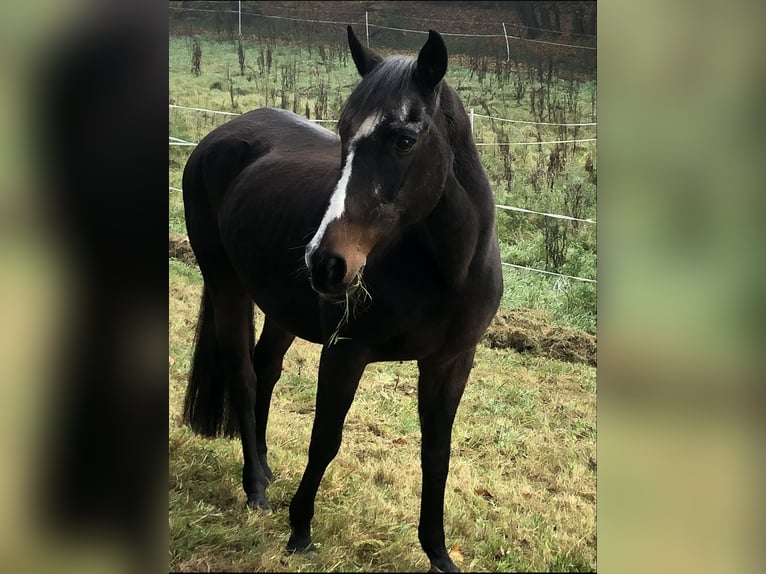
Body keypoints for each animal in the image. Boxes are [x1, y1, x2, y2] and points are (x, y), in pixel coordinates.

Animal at [181, 26, 503, 573]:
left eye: (404, 139)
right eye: (344, 132)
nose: (325, 262)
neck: (449, 270)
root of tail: (219, 137)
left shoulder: (451, 362)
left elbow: (437, 452)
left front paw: (439, 553)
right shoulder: (346, 353)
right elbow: (325, 438)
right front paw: (300, 532)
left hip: (281, 309)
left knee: (265, 368)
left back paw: (264, 467)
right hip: (226, 286)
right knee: (244, 377)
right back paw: (256, 488)